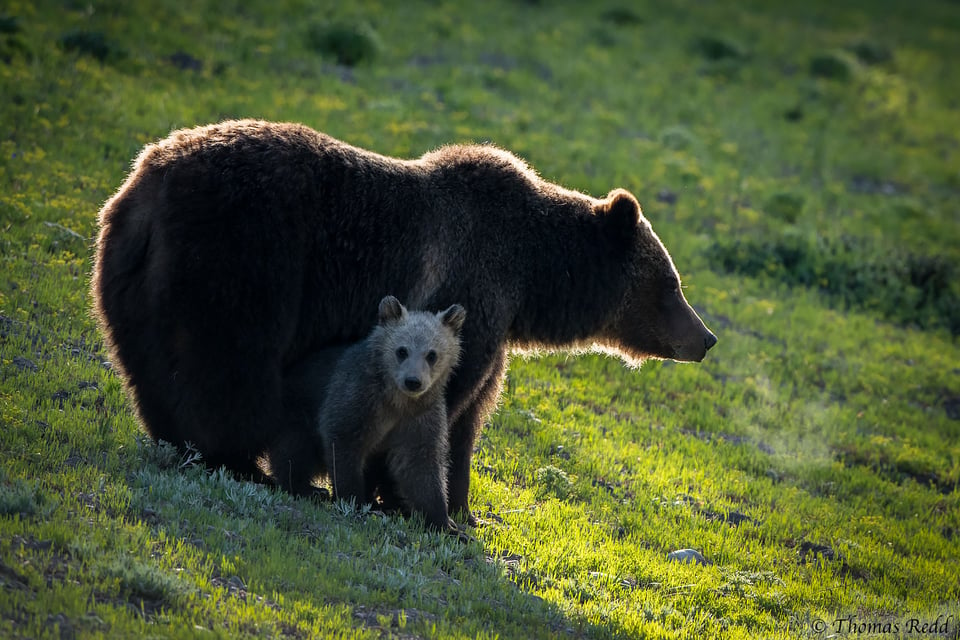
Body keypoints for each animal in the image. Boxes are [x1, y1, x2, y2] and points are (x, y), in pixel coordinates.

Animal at [280, 298, 464, 532]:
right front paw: (354, 501)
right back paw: (309, 489)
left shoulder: (421, 417)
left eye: (432, 354)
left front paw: (446, 523)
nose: (413, 381)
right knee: (294, 446)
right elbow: (343, 444)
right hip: (295, 408)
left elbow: (421, 466)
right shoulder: (356, 398)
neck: (396, 401)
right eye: (402, 351)